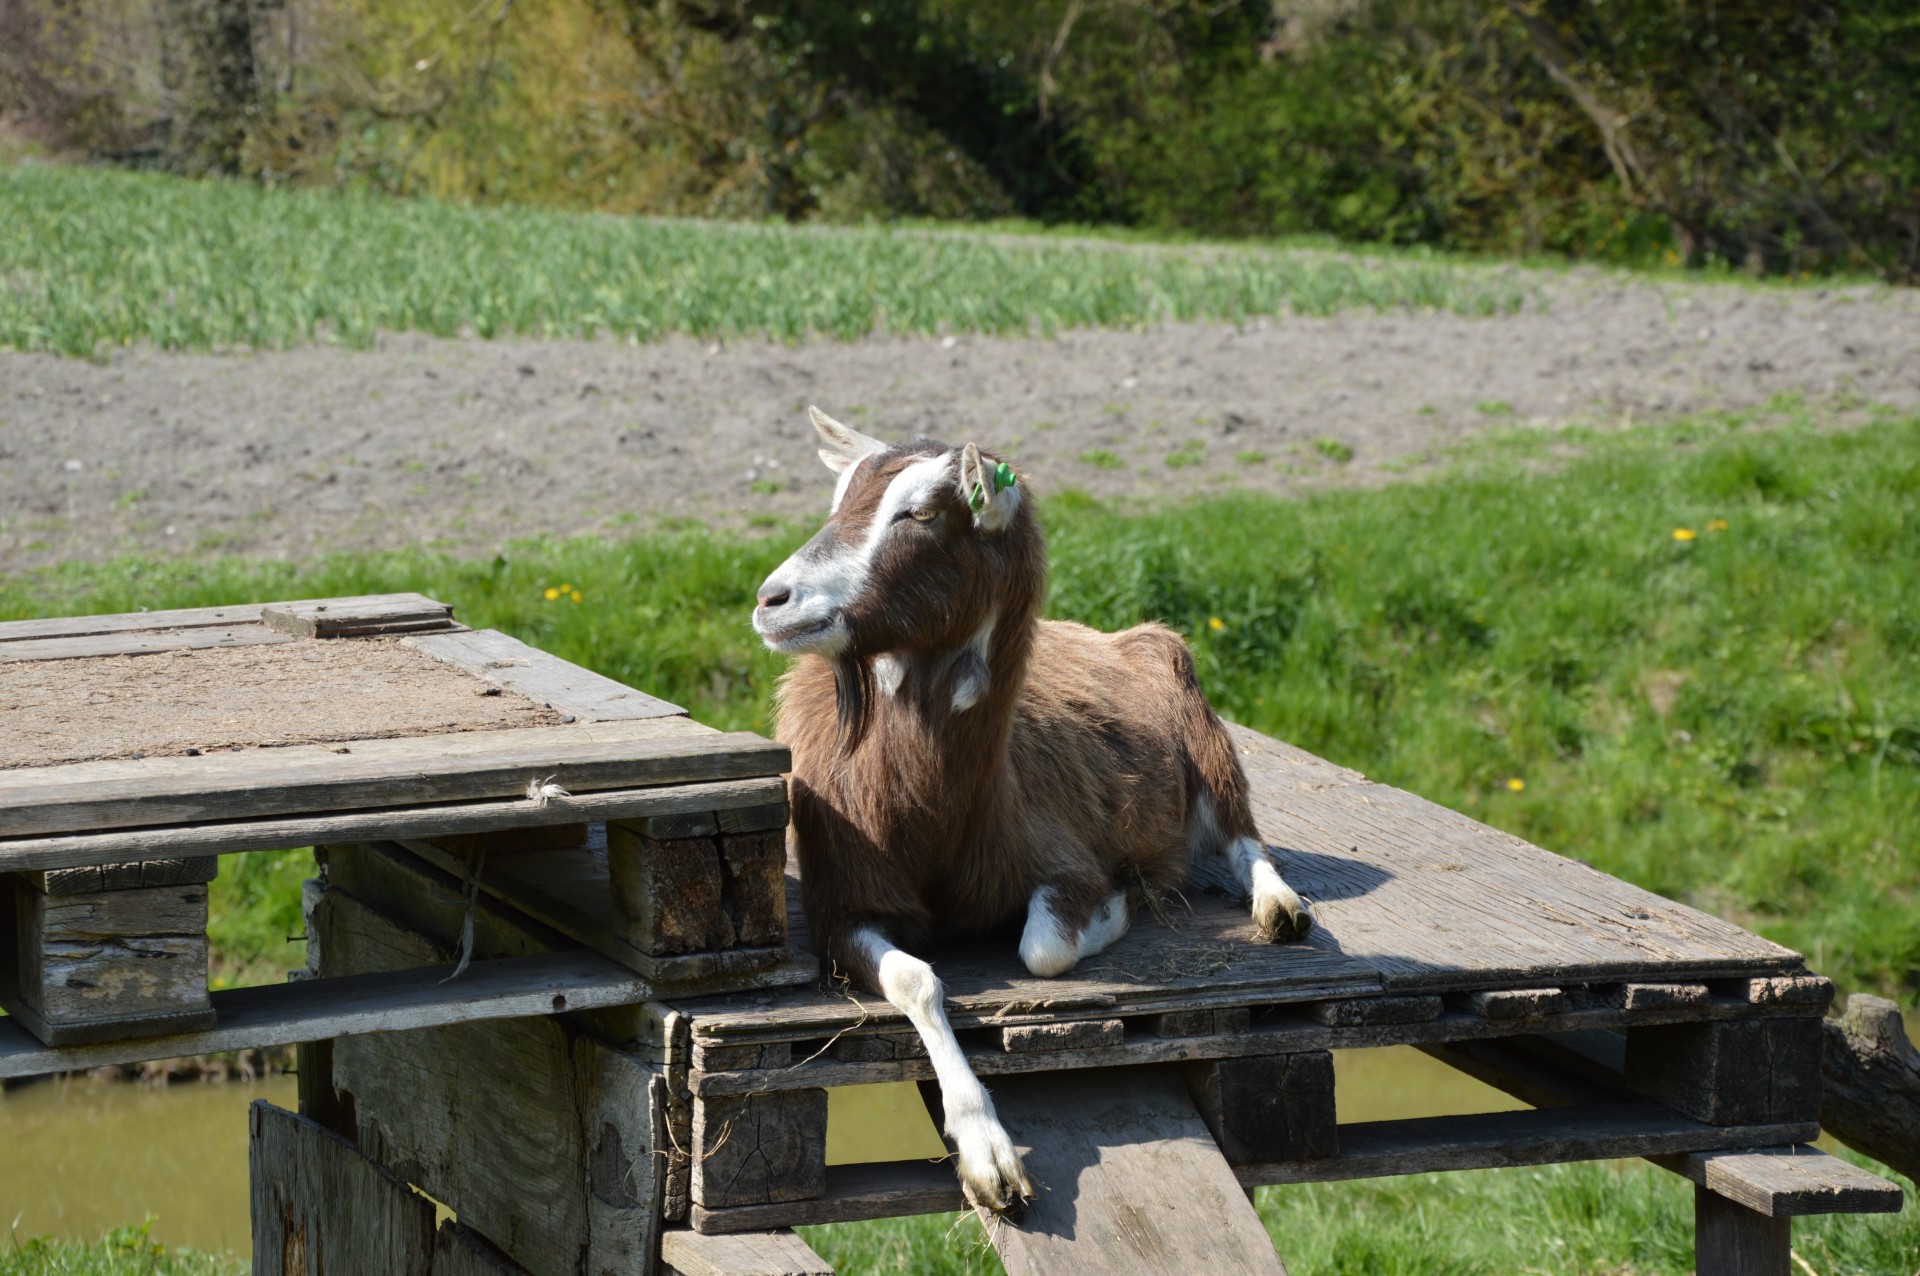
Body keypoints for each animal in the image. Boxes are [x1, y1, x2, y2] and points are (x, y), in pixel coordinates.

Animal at [741, 408, 1313, 1212]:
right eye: (838, 500)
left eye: (921, 513)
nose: (773, 600)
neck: (931, 820)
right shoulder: (841, 908)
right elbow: (919, 978)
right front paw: (989, 1152)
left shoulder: (1063, 860)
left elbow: (1044, 949)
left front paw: (1118, 906)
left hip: (1208, 740)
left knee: (1246, 839)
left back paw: (1277, 907)